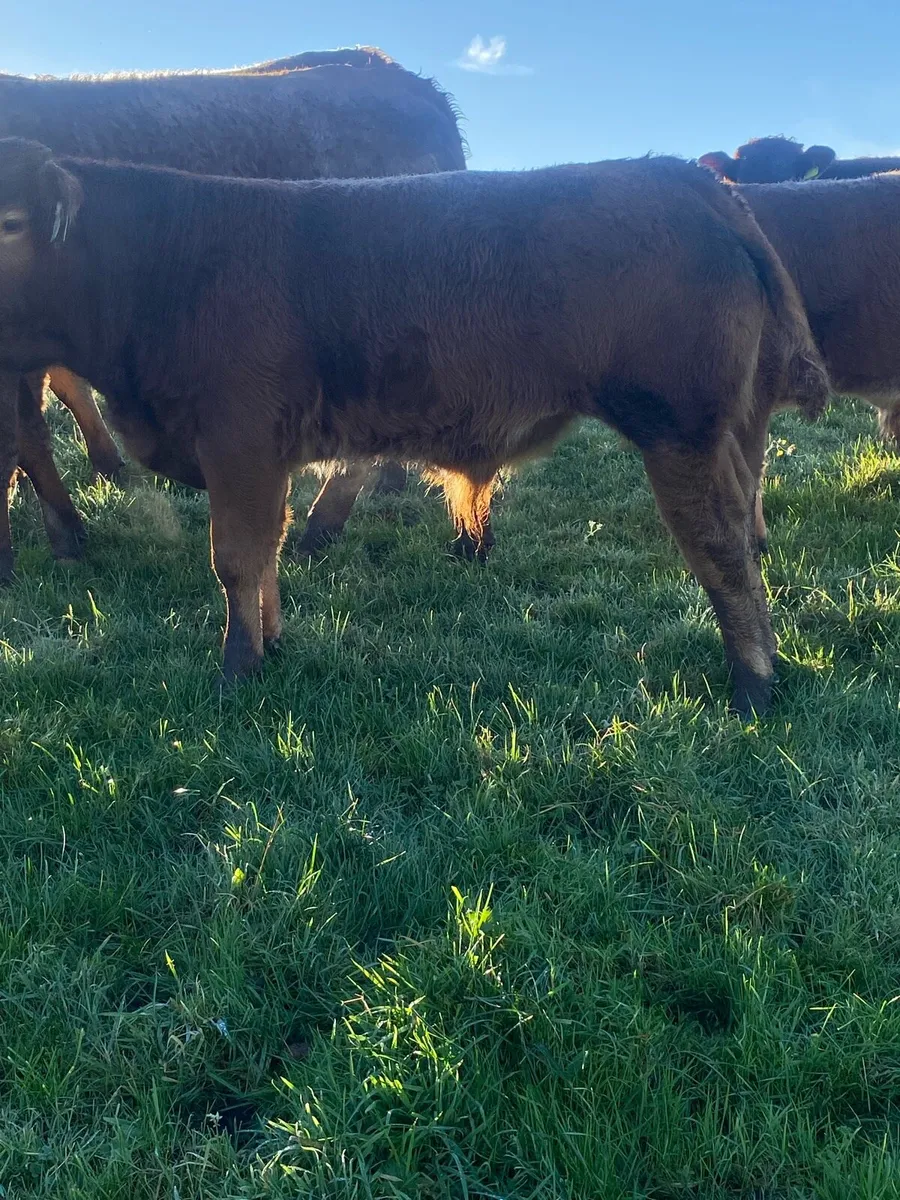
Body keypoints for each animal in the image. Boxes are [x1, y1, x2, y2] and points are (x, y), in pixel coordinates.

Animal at [0, 140, 830, 714]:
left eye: (11, 222)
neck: (165, 265)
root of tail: (685, 178)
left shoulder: (238, 442)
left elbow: (234, 559)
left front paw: (237, 670)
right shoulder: (264, 457)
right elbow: (267, 555)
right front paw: (271, 643)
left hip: (678, 431)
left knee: (721, 551)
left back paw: (753, 684)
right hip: (723, 435)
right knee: (742, 530)